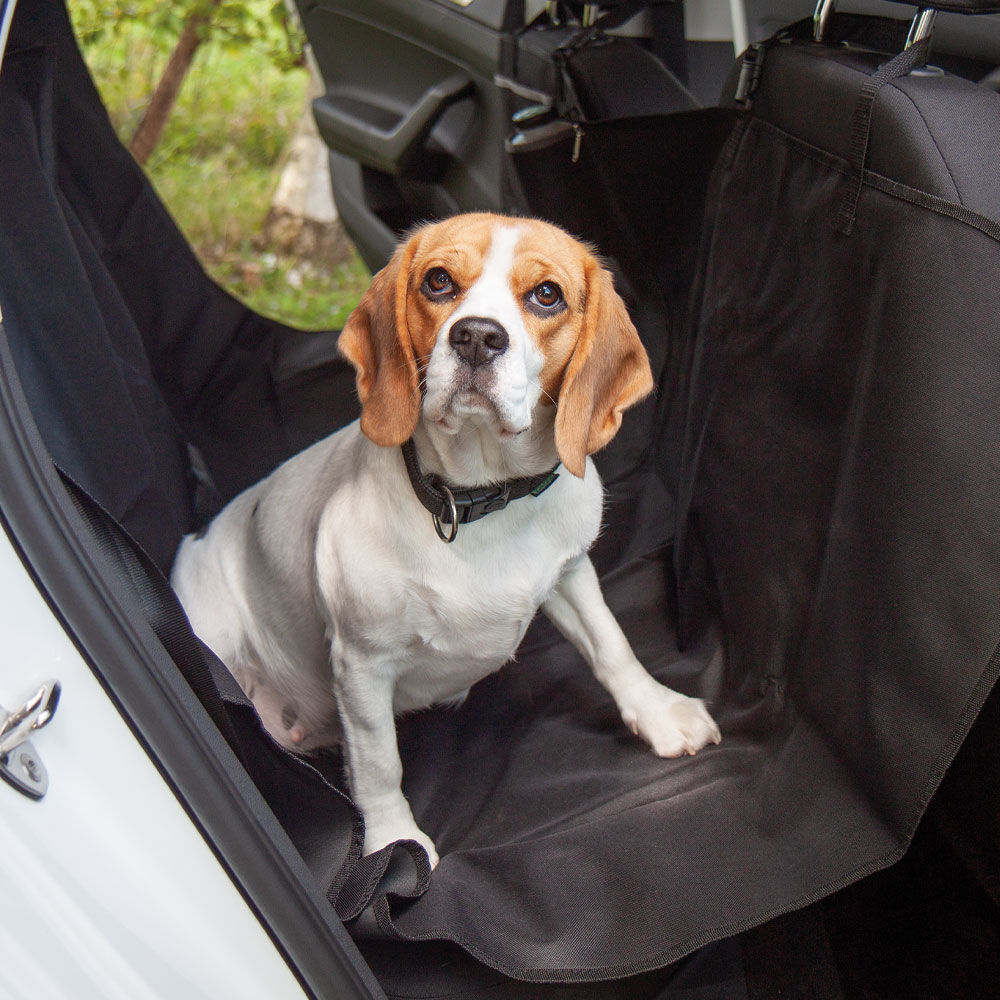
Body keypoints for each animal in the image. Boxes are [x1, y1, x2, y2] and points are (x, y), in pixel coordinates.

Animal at [172, 213, 720, 868]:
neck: (479, 502)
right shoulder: (361, 662)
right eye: (438, 281)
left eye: (546, 294)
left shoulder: (569, 572)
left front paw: (659, 711)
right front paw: (393, 843)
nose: (477, 337)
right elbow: (380, 763)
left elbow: (613, 645)